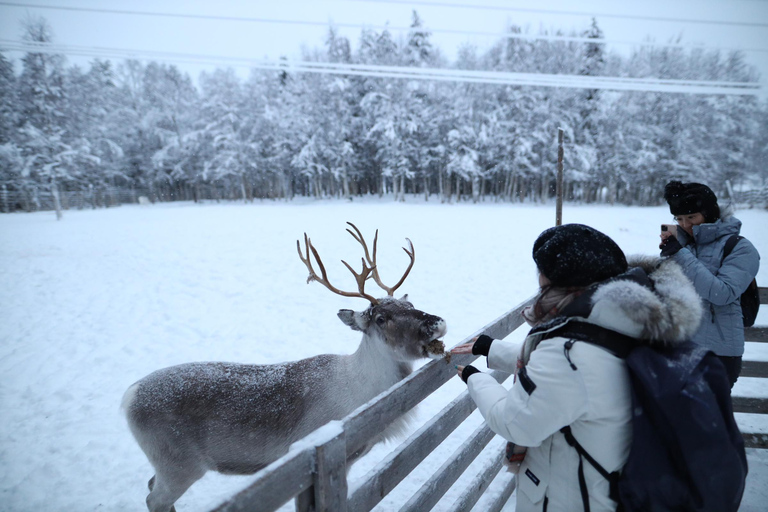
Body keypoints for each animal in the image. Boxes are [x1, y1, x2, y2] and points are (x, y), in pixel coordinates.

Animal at [121, 222, 448, 512]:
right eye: (380, 318)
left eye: (410, 305)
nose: (436, 322)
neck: (363, 394)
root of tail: (128, 396)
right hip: (178, 463)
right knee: (155, 499)